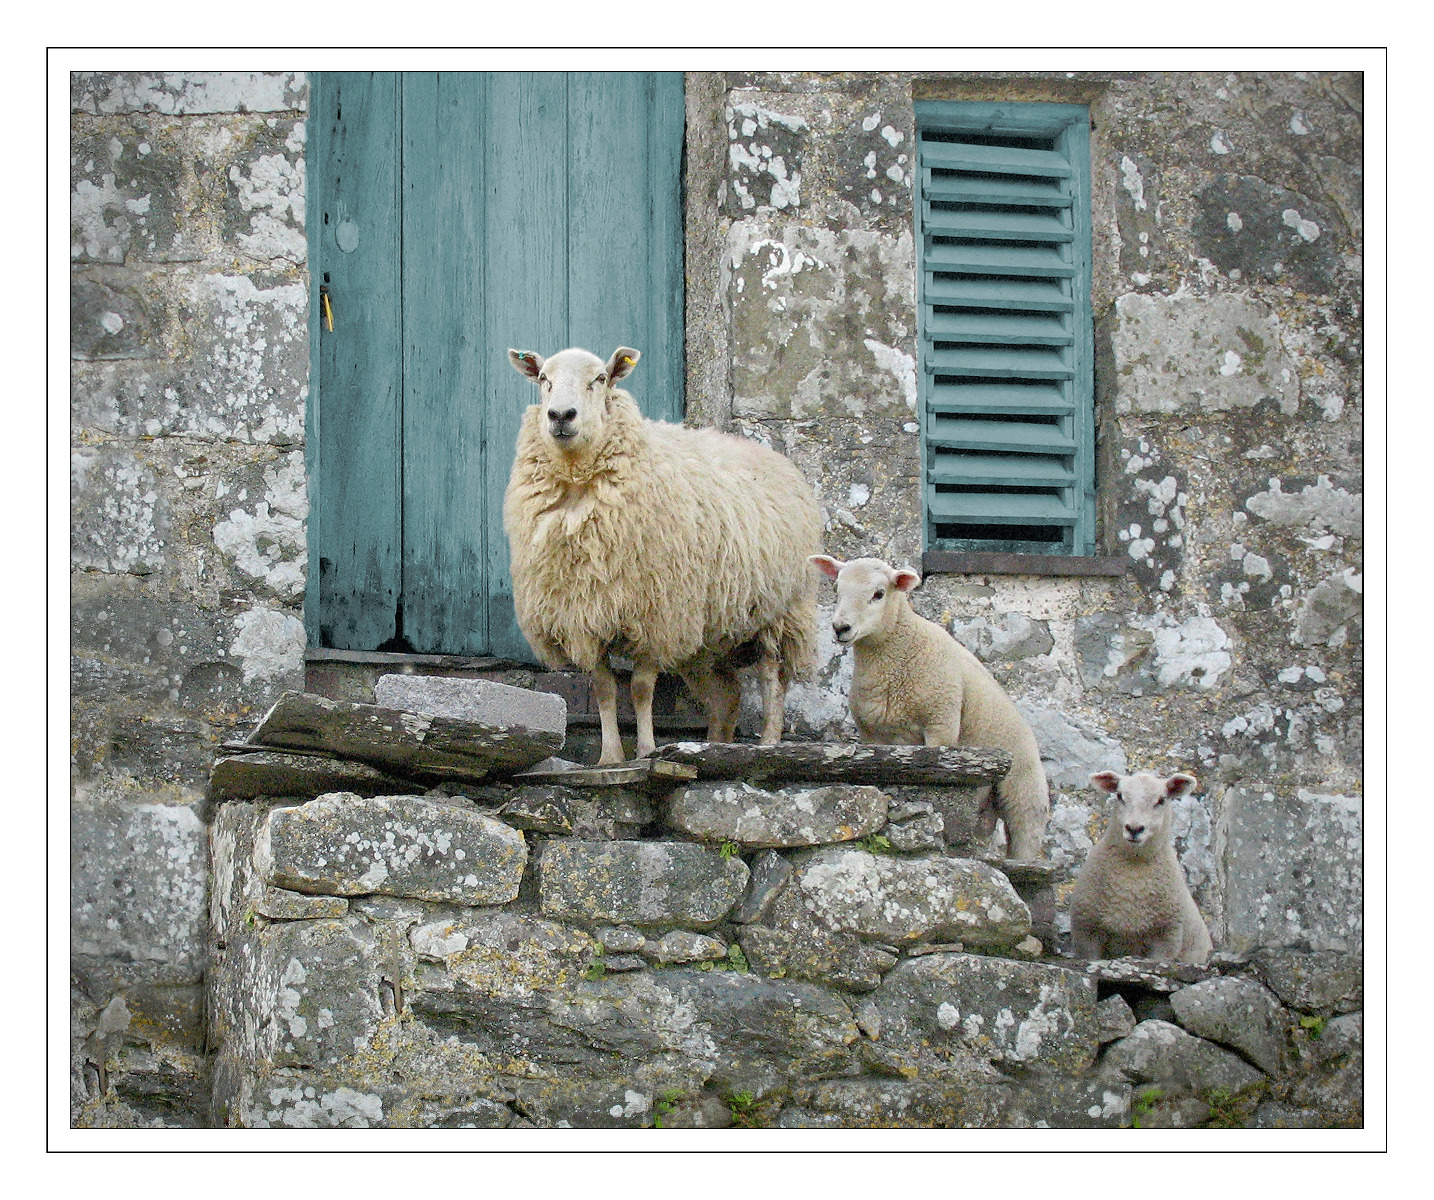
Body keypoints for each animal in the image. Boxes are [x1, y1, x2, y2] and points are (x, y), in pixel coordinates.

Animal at [504, 345, 822, 765]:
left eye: (600, 379)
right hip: (707, 636)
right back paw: (714, 745)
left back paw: (768, 743)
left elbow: (641, 689)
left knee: (772, 677)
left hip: (781, 608)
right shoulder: (587, 612)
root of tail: (775, 458)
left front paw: (645, 751)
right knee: (726, 696)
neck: (577, 480)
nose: (560, 416)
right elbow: (604, 689)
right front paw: (610, 757)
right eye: (543, 379)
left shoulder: (658, 614)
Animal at [807, 554, 1049, 861]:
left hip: (1024, 788)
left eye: (879, 594)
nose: (840, 628)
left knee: (1025, 832)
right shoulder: (873, 735)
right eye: (836, 588)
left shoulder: (941, 724)